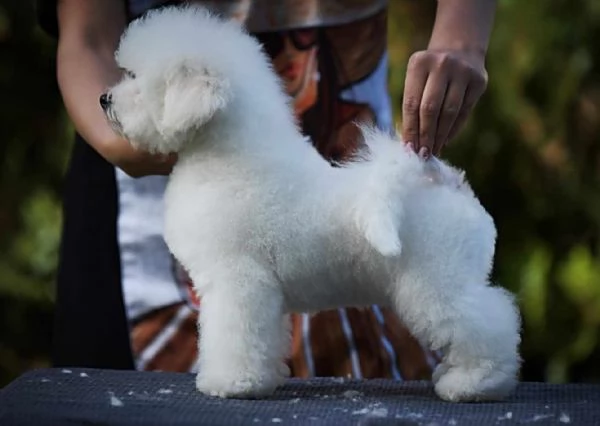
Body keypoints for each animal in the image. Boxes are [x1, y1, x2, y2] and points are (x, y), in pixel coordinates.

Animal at [99, 4, 520, 402]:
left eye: (137, 78)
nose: (104, 99)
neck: (229, 158)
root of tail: (445, 182)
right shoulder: (261, 292)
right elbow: (263, 338)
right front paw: (261, 380)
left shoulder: (237, 280)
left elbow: (234, 336)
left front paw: (230, 383)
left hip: (437, 282)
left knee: (490, 323)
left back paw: (474, 383)